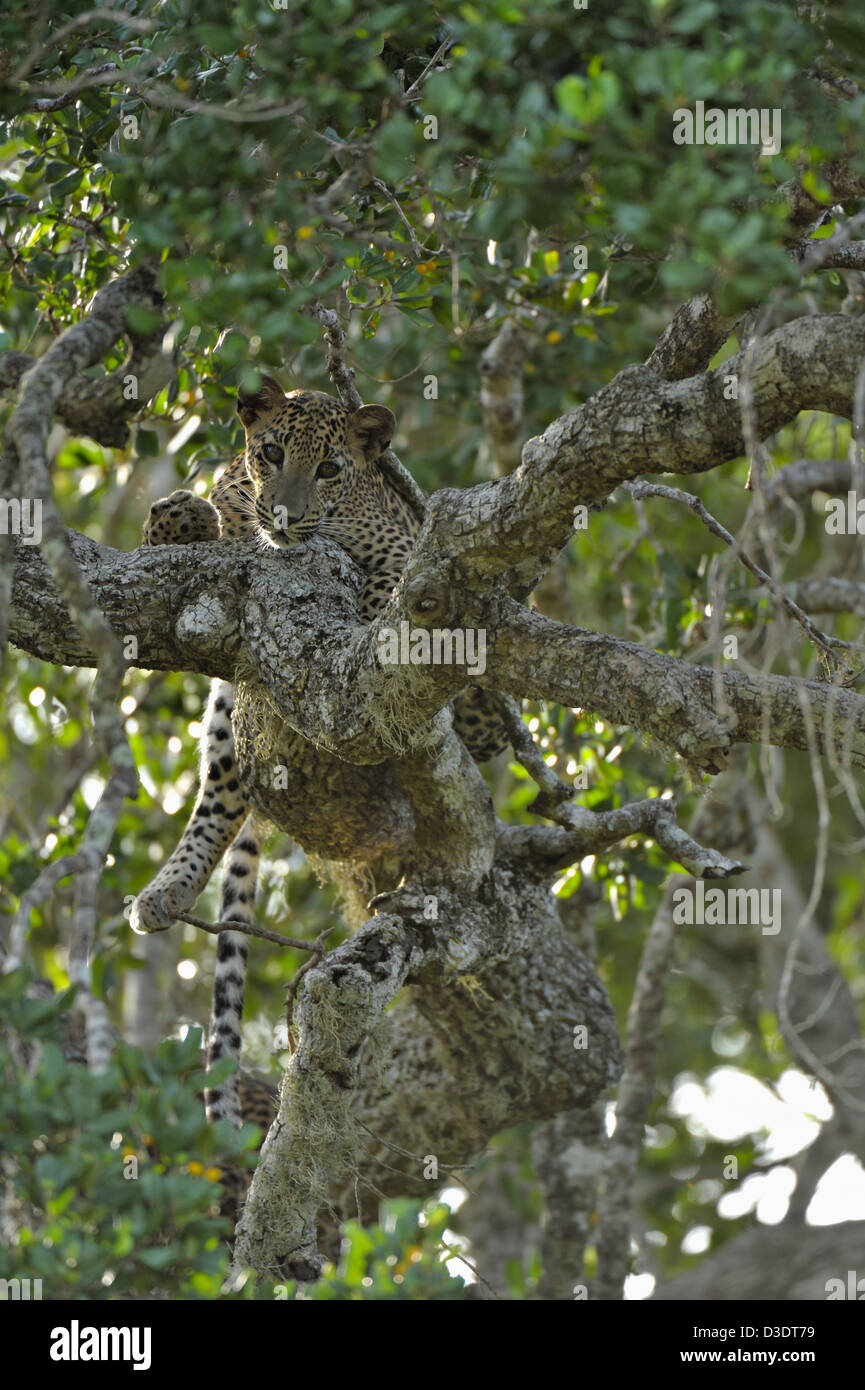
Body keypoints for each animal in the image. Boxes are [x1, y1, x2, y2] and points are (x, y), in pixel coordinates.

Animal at [128, 369, 508, 1139]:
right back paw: (166, 891)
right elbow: (181, 517)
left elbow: (393, 588)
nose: (284, 514)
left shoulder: (402, 562)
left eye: (330, 469)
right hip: (233, 715)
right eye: (270, 453)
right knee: (224, 788)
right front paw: (188, 517)